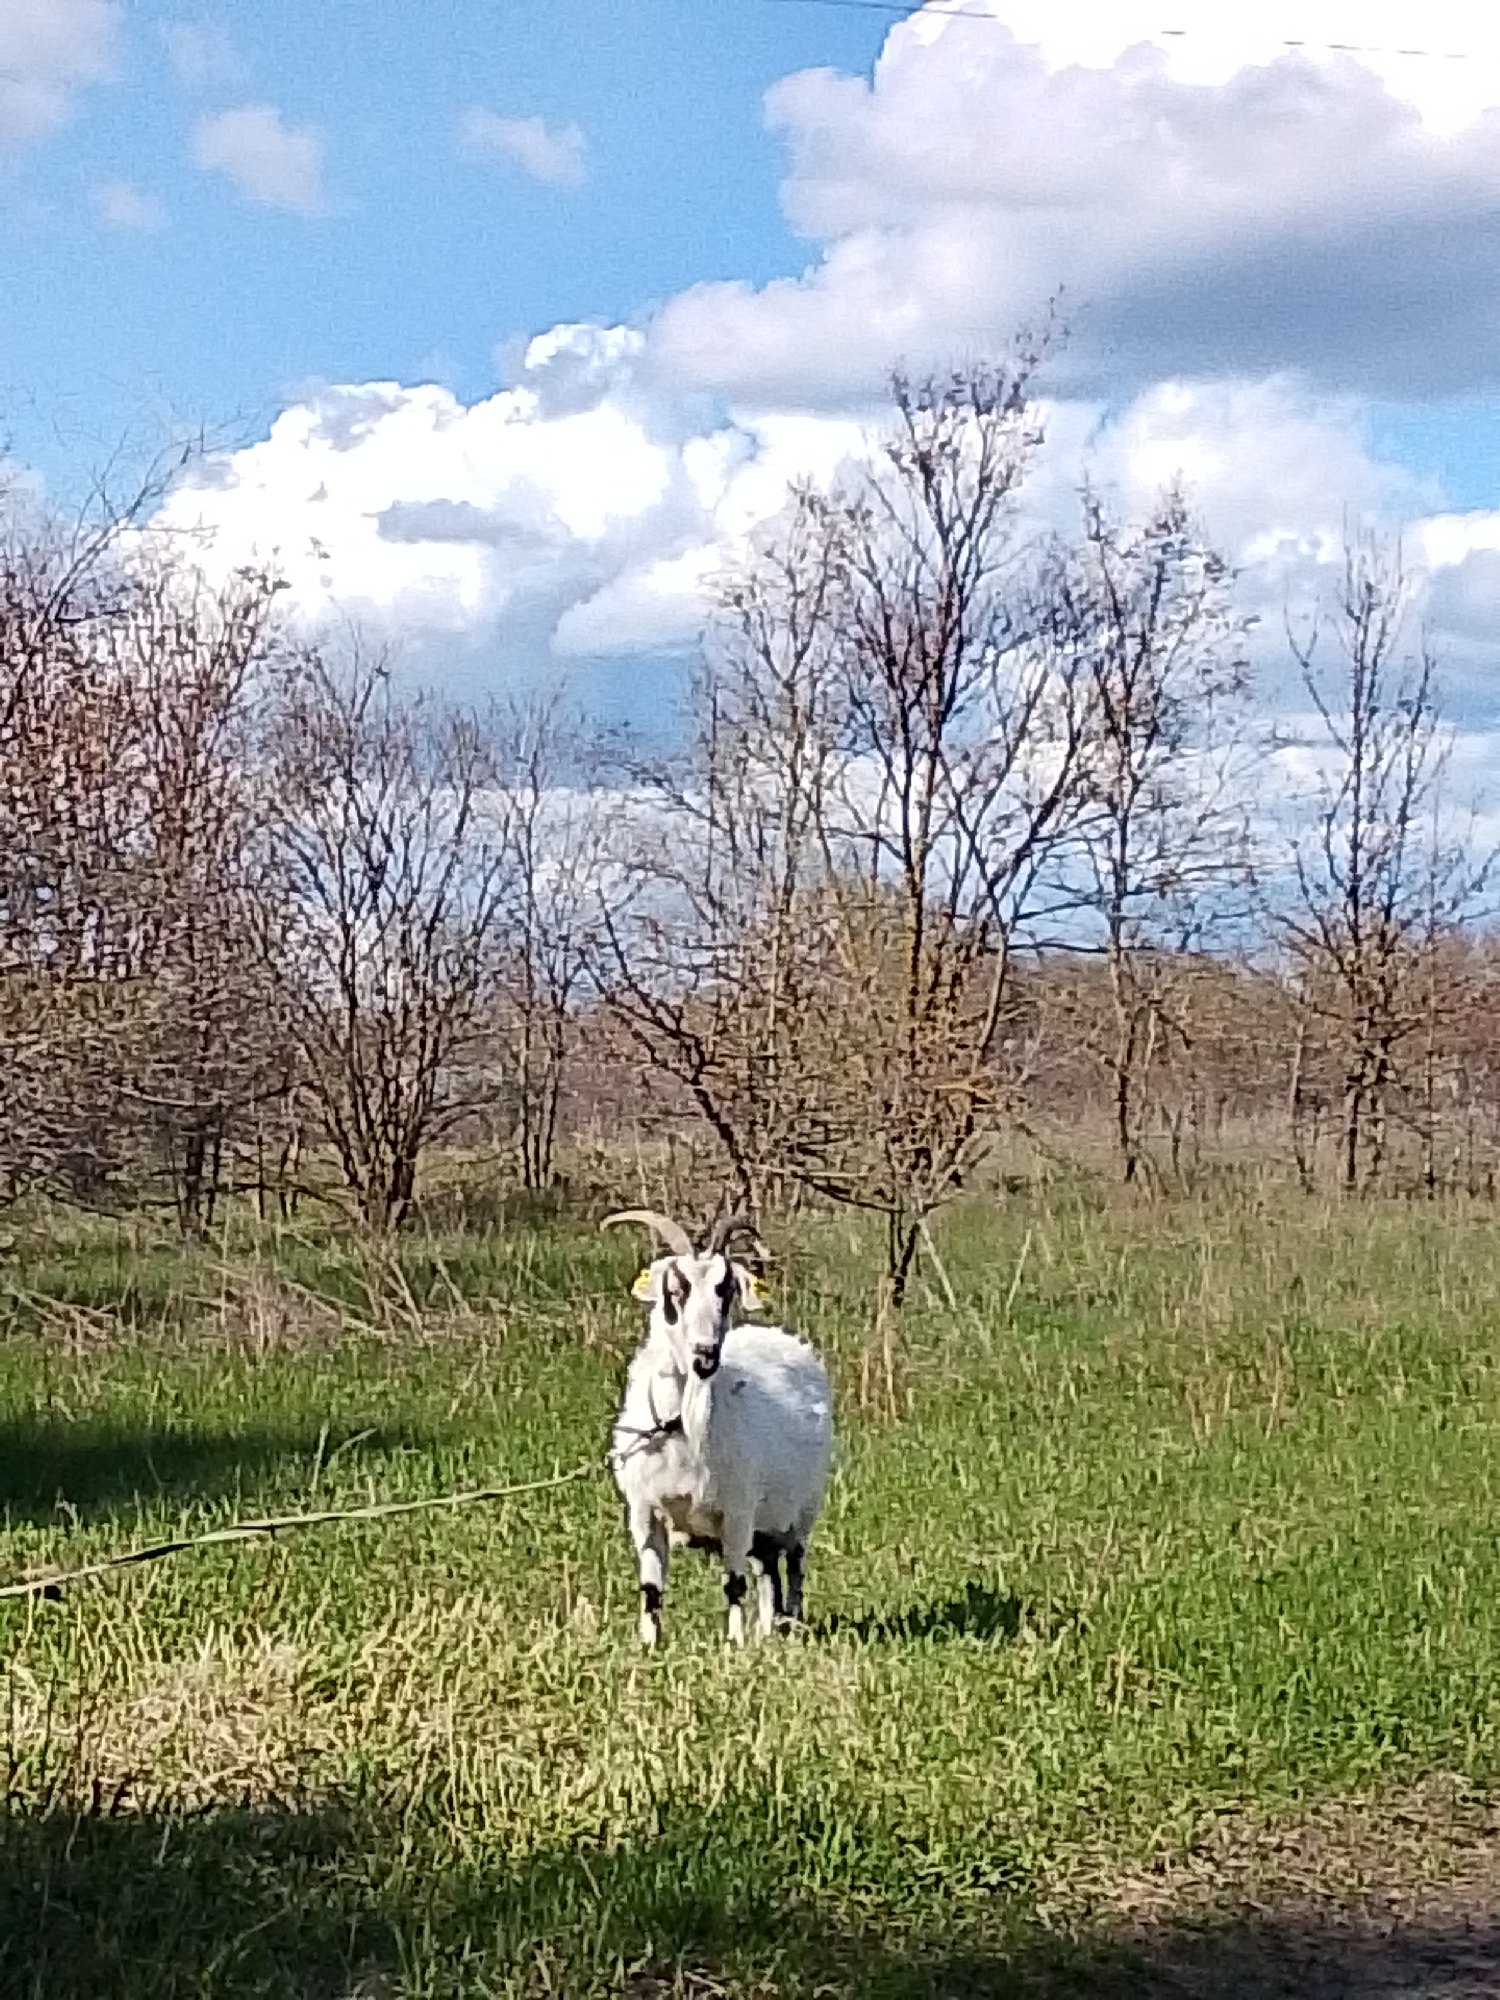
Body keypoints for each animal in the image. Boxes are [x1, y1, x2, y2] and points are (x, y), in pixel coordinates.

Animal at [605, 1208, 833, 1647]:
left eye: (725, 1290)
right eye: (675, 1289)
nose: (705, 1354)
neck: (679, 1429)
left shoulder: (737, 1512)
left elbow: (733, 1583)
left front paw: (733, 1644)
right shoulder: (644, 1512)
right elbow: (651, 1588)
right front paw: (649, 1645)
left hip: (800, 1511)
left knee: (793, 1566)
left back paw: (790, 1626)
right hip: (766, 1525)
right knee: (768, 1573)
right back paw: (767, 1631)